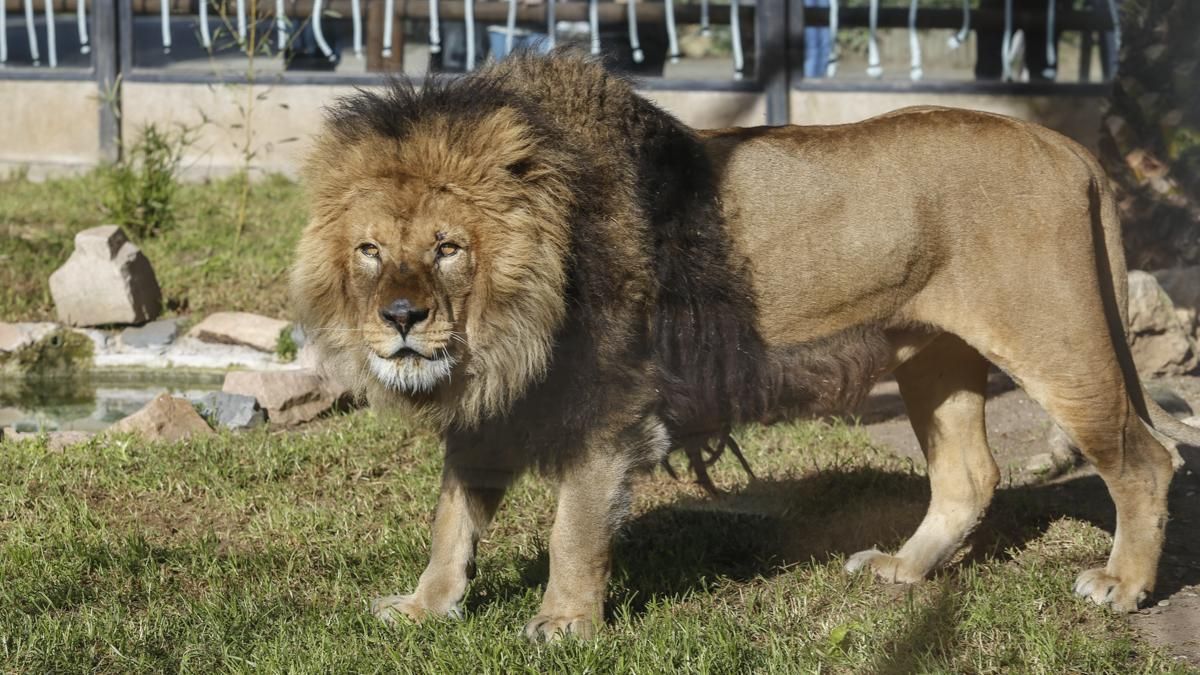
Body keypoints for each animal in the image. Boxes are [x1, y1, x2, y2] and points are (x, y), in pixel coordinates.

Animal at [291, 51, 1195, 641]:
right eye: (370, 249)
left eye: (448, 247)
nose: (400, 316)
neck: (507, 327)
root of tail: (1071, 150)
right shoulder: (497, 409)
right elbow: (450, 520)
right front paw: (424, 608)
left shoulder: (609, 409)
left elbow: (571, 528)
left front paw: (563, 623)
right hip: (933, 356)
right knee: (970, 475)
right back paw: (904, 570)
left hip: (1058, 340)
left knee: (1146, 460)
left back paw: (1120, 586)